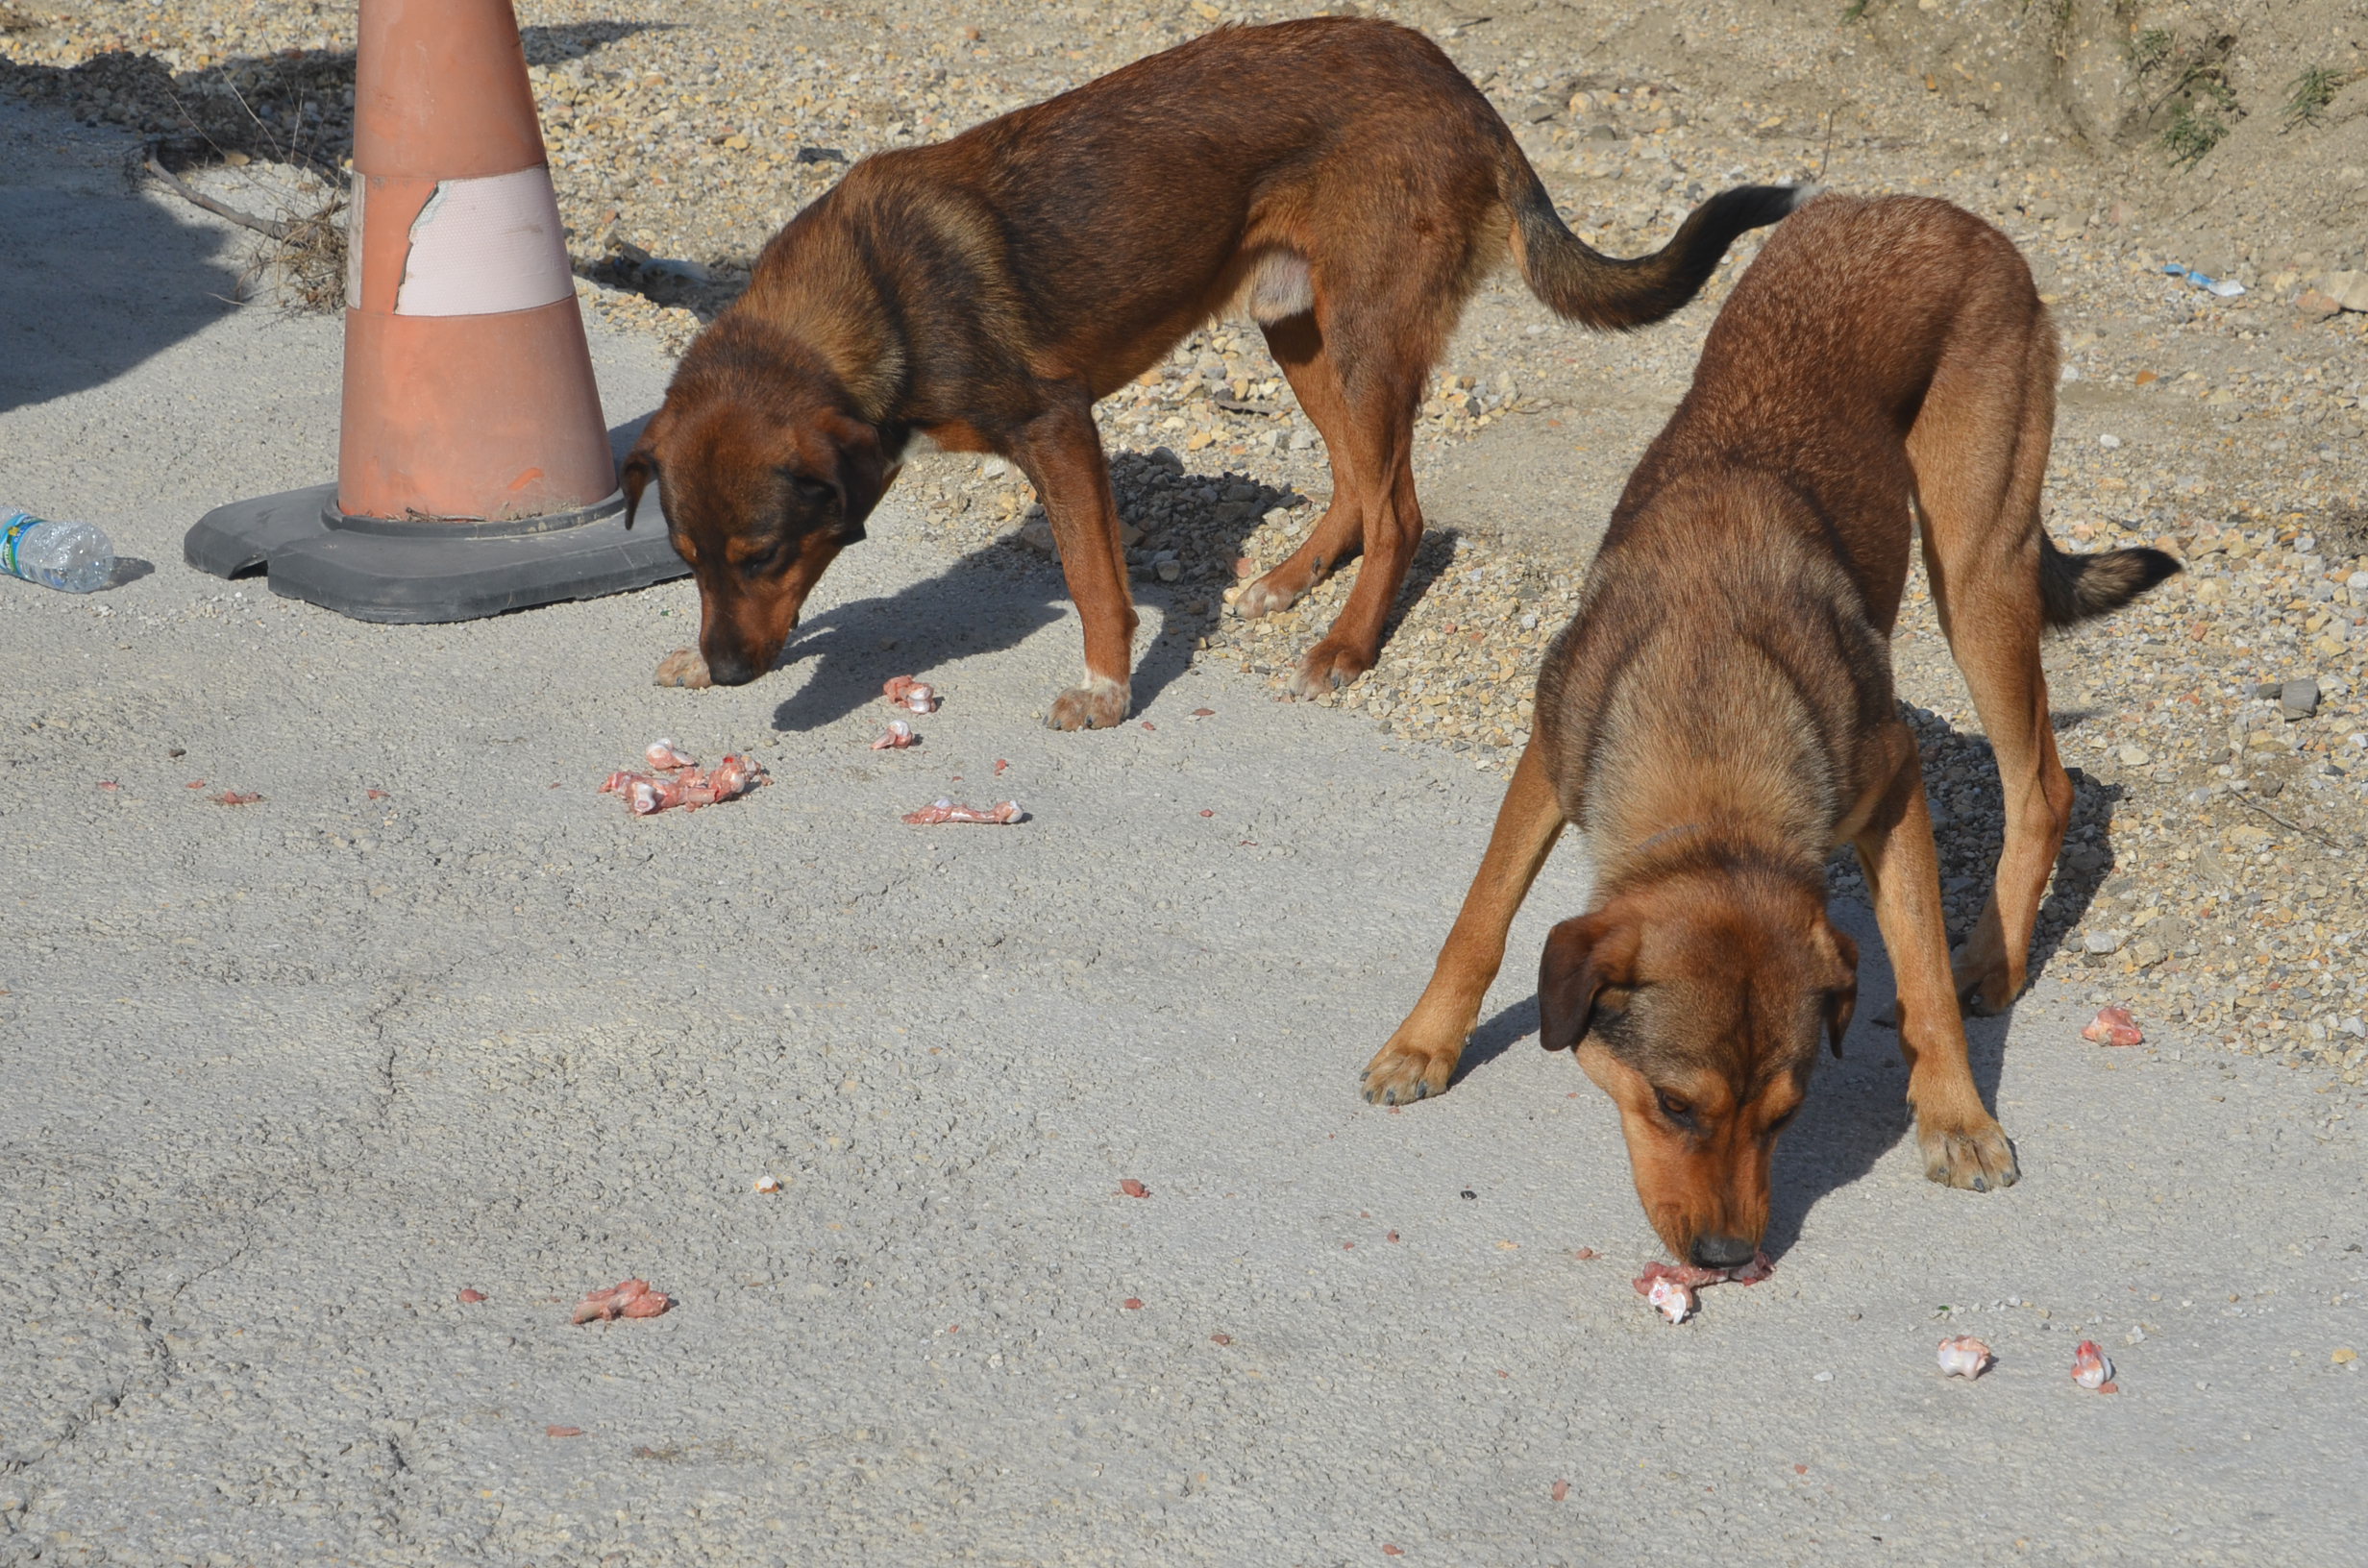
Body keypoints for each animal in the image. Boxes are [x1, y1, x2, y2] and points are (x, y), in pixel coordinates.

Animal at [620, 18, 1799, 729]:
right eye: (686, 559)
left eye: (765, 552)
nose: (731, 675)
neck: (868, 294)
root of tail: (1456, 81)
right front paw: (691, 657)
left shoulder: (1057, 427)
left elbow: (1095, 581)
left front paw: (1105, 689)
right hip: (1300, 329)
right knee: (1360, 484)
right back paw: (1291, 579)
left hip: (1366, 335)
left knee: (1403, 509)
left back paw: (1348, 644)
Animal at [1364, 196, 2169, 1279]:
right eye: (1673, 1105)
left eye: (1785, 1117)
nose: (1723, 1254)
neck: (1714, 728)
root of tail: (1941, 213)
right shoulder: (1549, 752)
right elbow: (1478, 918)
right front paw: (1424, 1043)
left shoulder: (1893, 779)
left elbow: (1919, 967)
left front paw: (1955, 1114)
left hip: (1977, 566)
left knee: (2043, 786)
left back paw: (1991, 962)